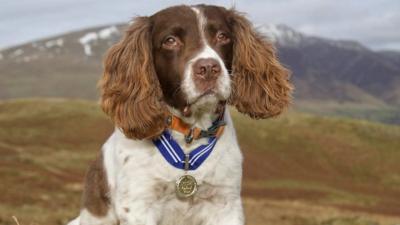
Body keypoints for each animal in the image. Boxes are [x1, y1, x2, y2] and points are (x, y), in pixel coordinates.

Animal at [68, 3, 290, 225]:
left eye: (222, 36)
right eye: (170, 41)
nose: (209, 68)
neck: (188, 138)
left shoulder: (225, 202)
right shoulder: (139, 204)